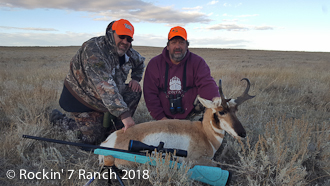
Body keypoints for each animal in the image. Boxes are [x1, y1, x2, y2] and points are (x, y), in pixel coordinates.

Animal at [100, 78, 255, 167]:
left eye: (236, 110)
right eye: (221, 111)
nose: (242, 133)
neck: (205, 133)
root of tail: (107, 142)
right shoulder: (196, 161)